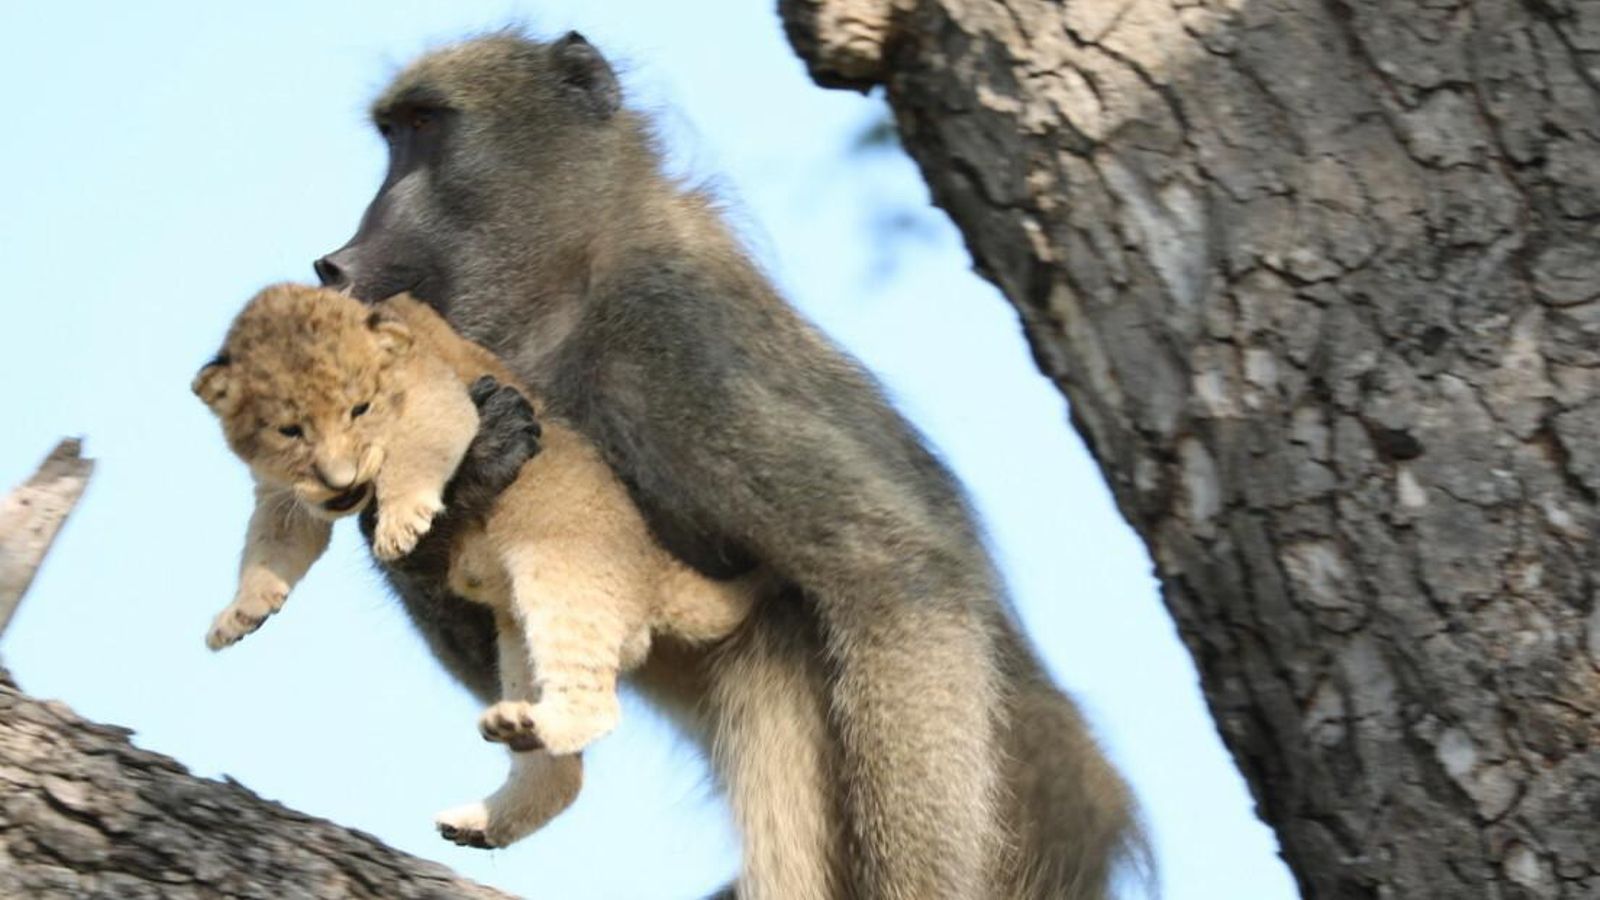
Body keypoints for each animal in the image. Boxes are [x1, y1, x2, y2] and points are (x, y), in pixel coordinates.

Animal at [193, 282, 759, 848]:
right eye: (290, 430)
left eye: (360, 409)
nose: (341, 480)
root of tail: (653, 564)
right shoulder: (283, 493)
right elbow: (272, 543)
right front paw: (240, 613)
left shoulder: (440, 398)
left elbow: (416, 452)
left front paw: (402, 522)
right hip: (517, 644)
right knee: (563, 773)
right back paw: (485, 809)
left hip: (560, 580)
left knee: (598, 705)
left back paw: (531, 732)